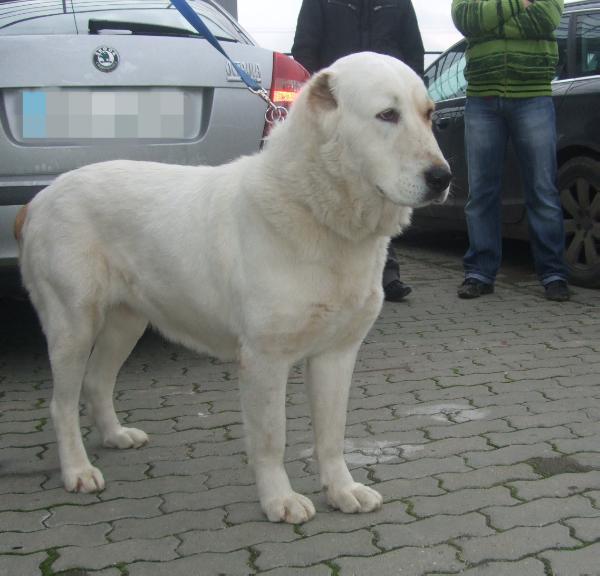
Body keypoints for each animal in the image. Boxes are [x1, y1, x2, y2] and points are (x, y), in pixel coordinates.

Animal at [15, 51, 450, 524]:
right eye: (387, 115)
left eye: (429, 115)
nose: (443, 177)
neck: (317, 210)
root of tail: (39, 198)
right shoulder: (265, 358)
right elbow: (272, 438)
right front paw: (280, 500)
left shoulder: (337, 354)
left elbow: (332, 435)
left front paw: (342, 490)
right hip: (73, 324)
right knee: (61, 403)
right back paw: (77, 470)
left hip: (126, 322)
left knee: (97, 382)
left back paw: (115, 435)